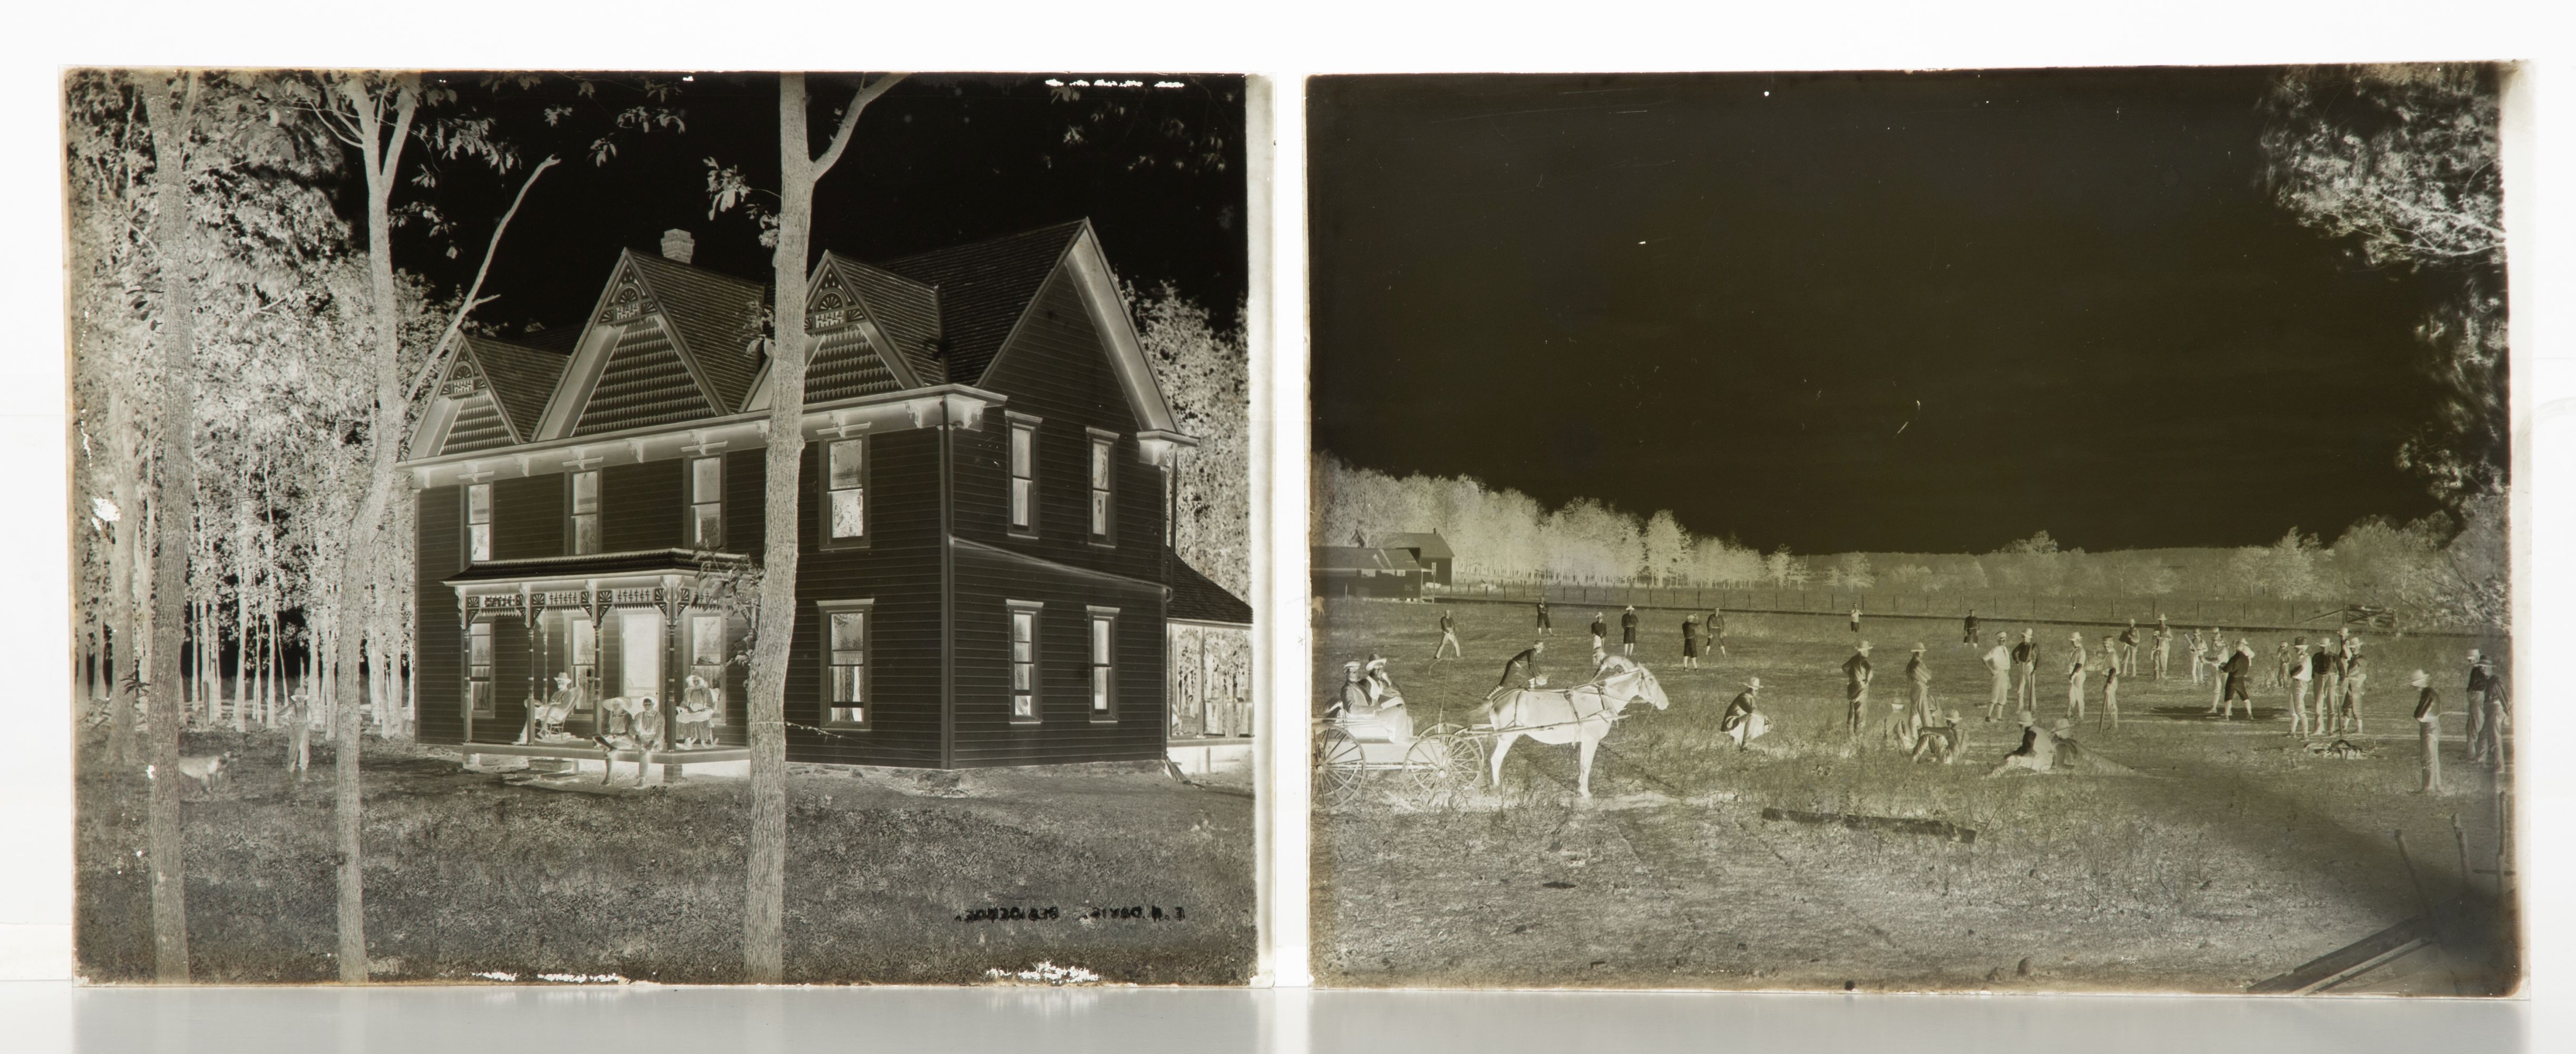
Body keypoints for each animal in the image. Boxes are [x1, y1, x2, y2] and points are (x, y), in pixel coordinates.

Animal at [1473, 665, 1669, 798]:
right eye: (1651, 680)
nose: (1665, 703)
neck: (1601, 700)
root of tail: (1499, 698)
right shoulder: (1592, 741)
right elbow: (1587, 766)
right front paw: (1586, 793)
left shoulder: (1586, 741)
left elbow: (1582, 765)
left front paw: (1580, 788)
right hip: (1506, 738)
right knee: (1496, 760)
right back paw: (1498, 788)